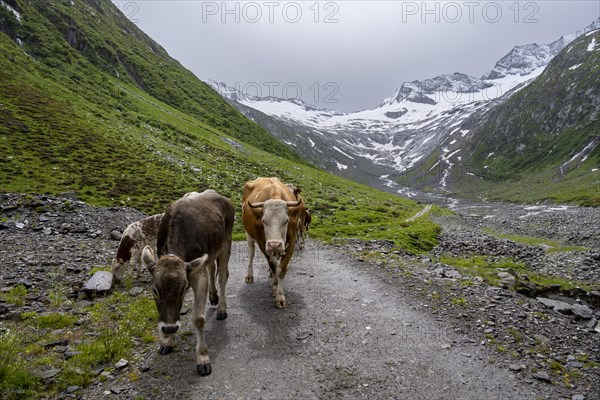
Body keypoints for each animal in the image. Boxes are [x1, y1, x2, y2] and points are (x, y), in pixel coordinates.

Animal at [141, 189, 234, 376]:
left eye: (184, 289)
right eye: (154, 290)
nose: (169, 329)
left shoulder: (197, 275)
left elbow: (198, 319)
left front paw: (203, 358)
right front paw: (167, 341)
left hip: (225, 243)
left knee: (222, 276)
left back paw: (221, 308)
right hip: (210, 252)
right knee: (211, 268)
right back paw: (213, 296)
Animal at [241, 177, 304, 308]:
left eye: (286, 221)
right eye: (264, 221)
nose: (274, 244)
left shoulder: (291, 243)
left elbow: (281, 269)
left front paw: (280, 295)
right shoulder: (262, 243)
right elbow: (274, 265)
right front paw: (276, 288)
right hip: (248, 234)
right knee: (251, 254)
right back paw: (249, 276)